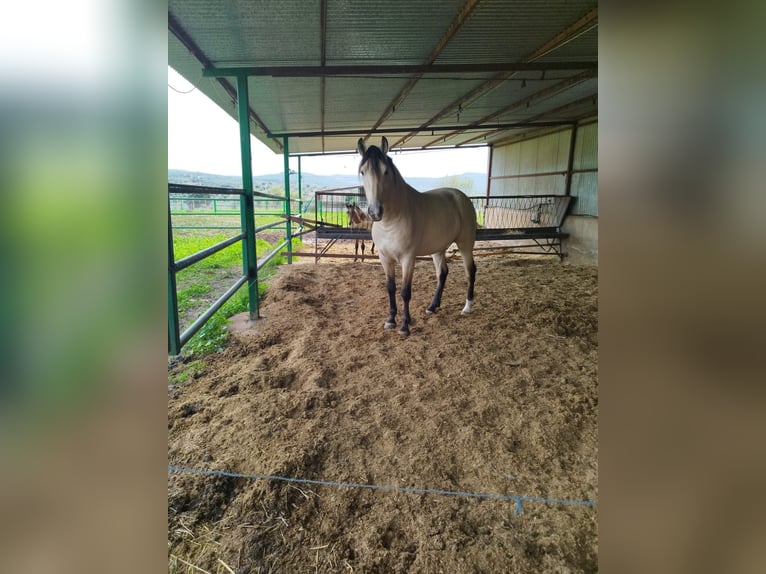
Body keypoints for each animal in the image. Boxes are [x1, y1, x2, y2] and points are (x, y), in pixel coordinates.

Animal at [358, 136, 476, 338]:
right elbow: (390, 287)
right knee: (442, 273)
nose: (375, 212)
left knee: (470, 271)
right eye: (362, 172)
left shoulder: (408, 258)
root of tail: (462, 197)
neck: (391, 221)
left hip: (465, 244)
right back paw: (432, 307)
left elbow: (405, 291)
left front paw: (404, 326)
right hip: (438, 249)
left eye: (386, 171)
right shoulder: (384, 258)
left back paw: (467, 307)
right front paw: (390, 320)